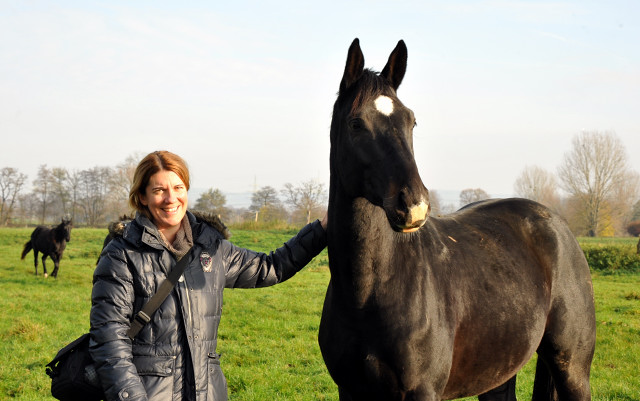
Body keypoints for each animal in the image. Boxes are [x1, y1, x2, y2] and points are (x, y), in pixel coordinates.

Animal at [318, 38, 596, 400]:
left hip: (572, 369)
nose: (415, 205)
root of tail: (557, 225)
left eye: (411, 121)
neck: (367, 293)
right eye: (356, 123)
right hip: (498, 371)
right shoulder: (349, 390)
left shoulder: (422, 392)